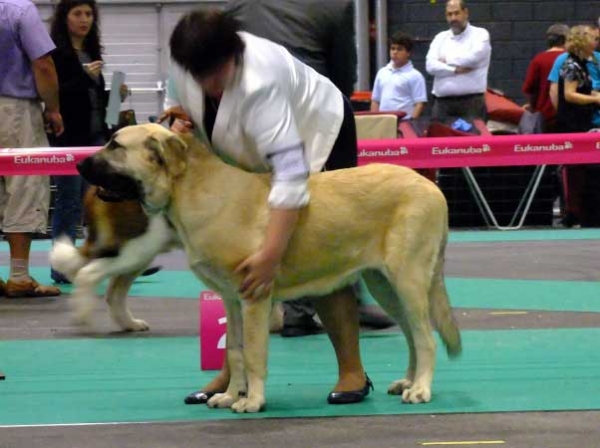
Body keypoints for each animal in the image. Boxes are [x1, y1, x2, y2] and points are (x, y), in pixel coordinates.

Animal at [77, 123, 462, 412]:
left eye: (115, 145)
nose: (79, 165)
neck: (191, 190)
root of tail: (432, 187)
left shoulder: (255, 297)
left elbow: (253, 352)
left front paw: (253, 401)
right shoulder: (231, 300)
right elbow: (234, 350)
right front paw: (229, 394)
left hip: (408, 280)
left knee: (426, 337)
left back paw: (420, 389)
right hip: (384, 285)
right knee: (412, 335)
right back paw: (408, 380)